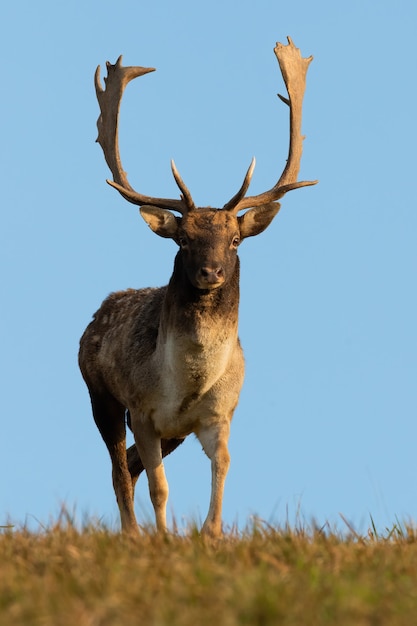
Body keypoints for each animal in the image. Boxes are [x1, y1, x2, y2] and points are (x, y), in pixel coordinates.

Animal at [78, 36, 316, 532]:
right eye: (184, 239)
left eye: (235, 240)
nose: (211, 273)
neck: (187, 385)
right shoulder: (143, 411)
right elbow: (159, 486)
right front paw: (163, 537)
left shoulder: (219, 416)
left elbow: (222, 465)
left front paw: (211, 533)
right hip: (99, 395)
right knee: (119, 468)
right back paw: (132, 533)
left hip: (171, 433)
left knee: (128, 466)